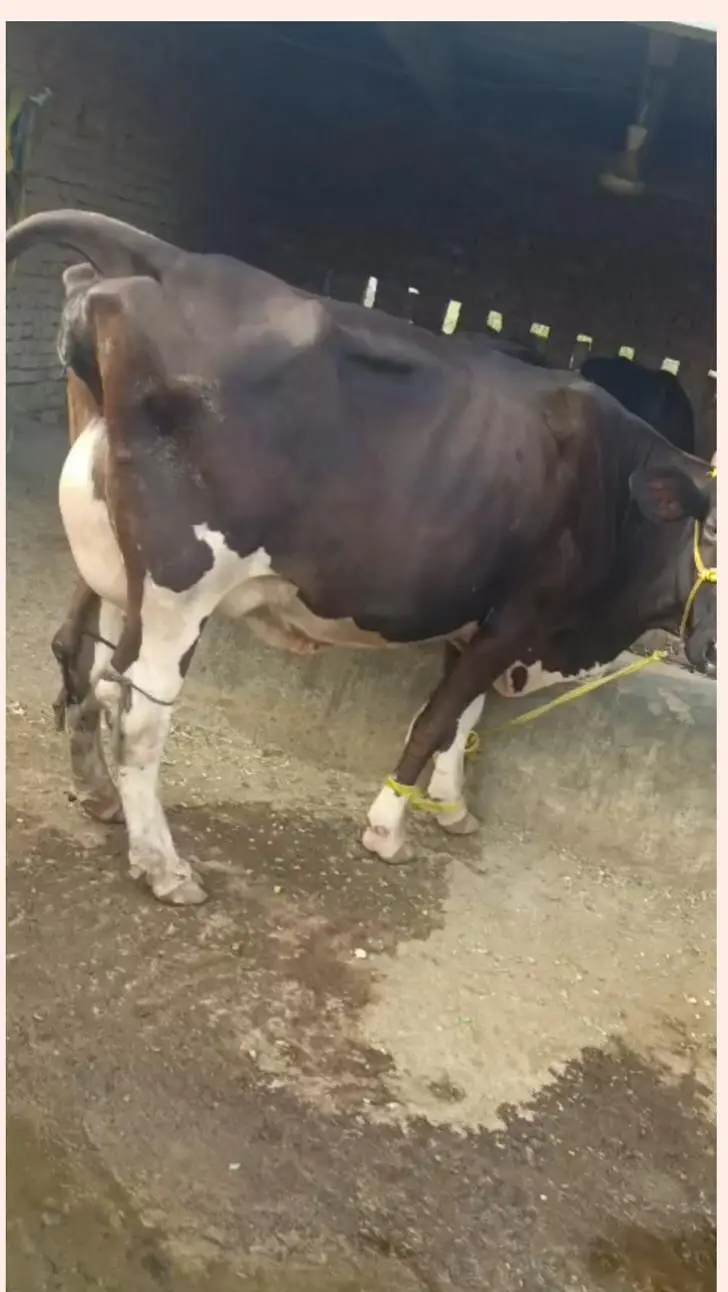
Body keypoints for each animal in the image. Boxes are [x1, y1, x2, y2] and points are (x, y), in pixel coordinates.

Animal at [6, 210, 717, 908]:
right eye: (712, 529)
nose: (710, 650)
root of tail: (173, 261)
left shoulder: (481, 619)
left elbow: (462, 716)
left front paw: (451, 807)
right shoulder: (521, 616)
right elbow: (433, 721)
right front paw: (387, 829)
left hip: (119, 566)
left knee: (92, 665)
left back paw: (98, 796)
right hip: (180, 580)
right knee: (138, 709)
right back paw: (163, 866)